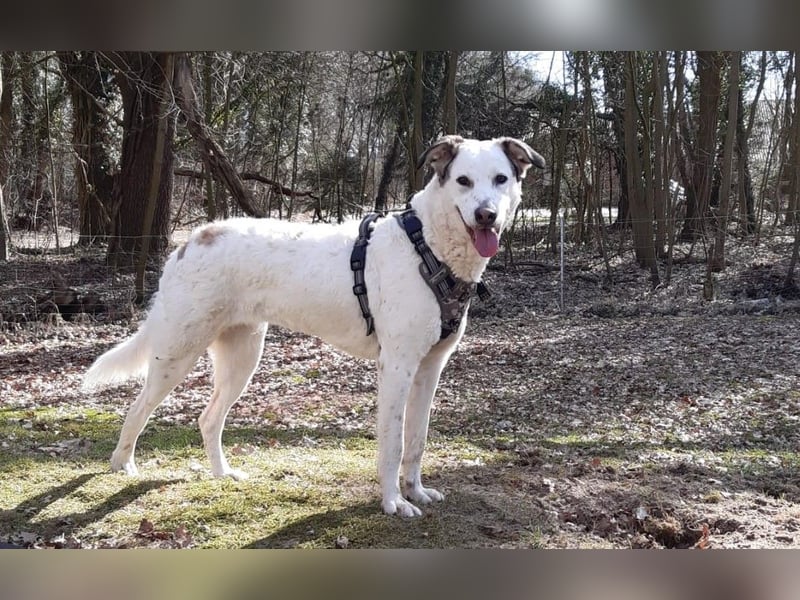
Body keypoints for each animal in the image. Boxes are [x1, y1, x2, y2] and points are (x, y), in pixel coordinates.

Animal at [83, 136, 544, 517]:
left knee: (208, 419)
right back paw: (122, 464)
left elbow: (417, 440)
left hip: (242, 357)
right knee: (137, 408)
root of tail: (192, 241)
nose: (486, 215)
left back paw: (222, 474)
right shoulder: (396, 367)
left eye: (501, 179)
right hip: (178, 352)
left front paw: (415, 491)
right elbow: (393, 443)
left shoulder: (429, 368)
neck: (426, 246)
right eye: (463, 181)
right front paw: (393, 502)